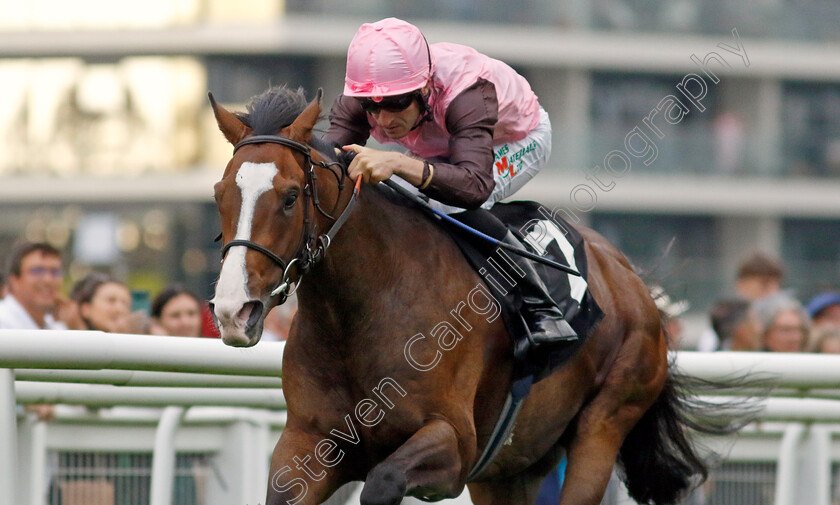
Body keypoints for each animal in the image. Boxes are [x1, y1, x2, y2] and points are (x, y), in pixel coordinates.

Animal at [208, 87, 716, 504]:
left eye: (291, 196)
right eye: (218, 194)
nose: (234, 312)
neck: (358, 314)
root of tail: (633, 278)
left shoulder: (454, 444)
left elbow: (382, 483)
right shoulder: (308, 444)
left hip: (605, 422)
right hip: (510, 469)